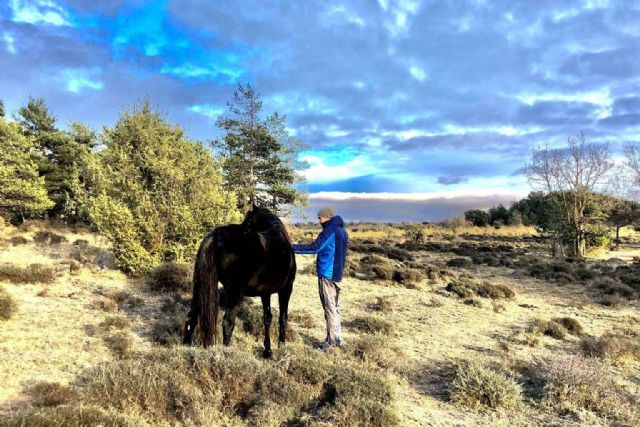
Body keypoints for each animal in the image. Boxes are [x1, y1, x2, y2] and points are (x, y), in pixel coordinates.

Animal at [184, 206, 296, 360]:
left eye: (248, 220)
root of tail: (216, 236)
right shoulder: (286, 289)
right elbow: (283, 318)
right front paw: (281, 348)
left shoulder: (265, 293)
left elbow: (267, 318)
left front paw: (267, 351)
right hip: (235, 293)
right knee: (227, 322)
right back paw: (227, 354)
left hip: (200, 288)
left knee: (191, 318)